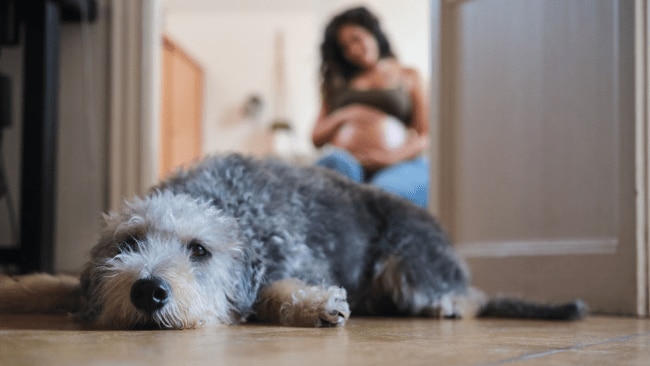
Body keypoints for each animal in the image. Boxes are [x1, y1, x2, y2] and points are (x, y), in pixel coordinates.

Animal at [0, 154, 588, 328]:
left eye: (199, 250)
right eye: (127, 244)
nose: (148, 291)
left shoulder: (289, 258)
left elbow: (275, 291)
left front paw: (315, 304)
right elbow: (49, 282)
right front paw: (15, 287)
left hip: (406, 262)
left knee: (472, 294)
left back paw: (447, 304)